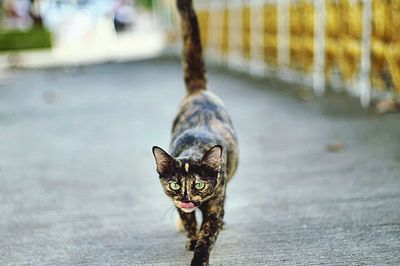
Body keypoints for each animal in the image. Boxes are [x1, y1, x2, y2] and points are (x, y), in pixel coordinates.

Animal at [150, 1, 238, 264]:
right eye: (175, 185)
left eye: (199, 185)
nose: (187, 199)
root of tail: (198, 91)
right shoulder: (180, 206)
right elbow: (189, 221)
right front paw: (191, 237)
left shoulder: (216, 203)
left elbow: (208, 233)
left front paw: (200, 255)